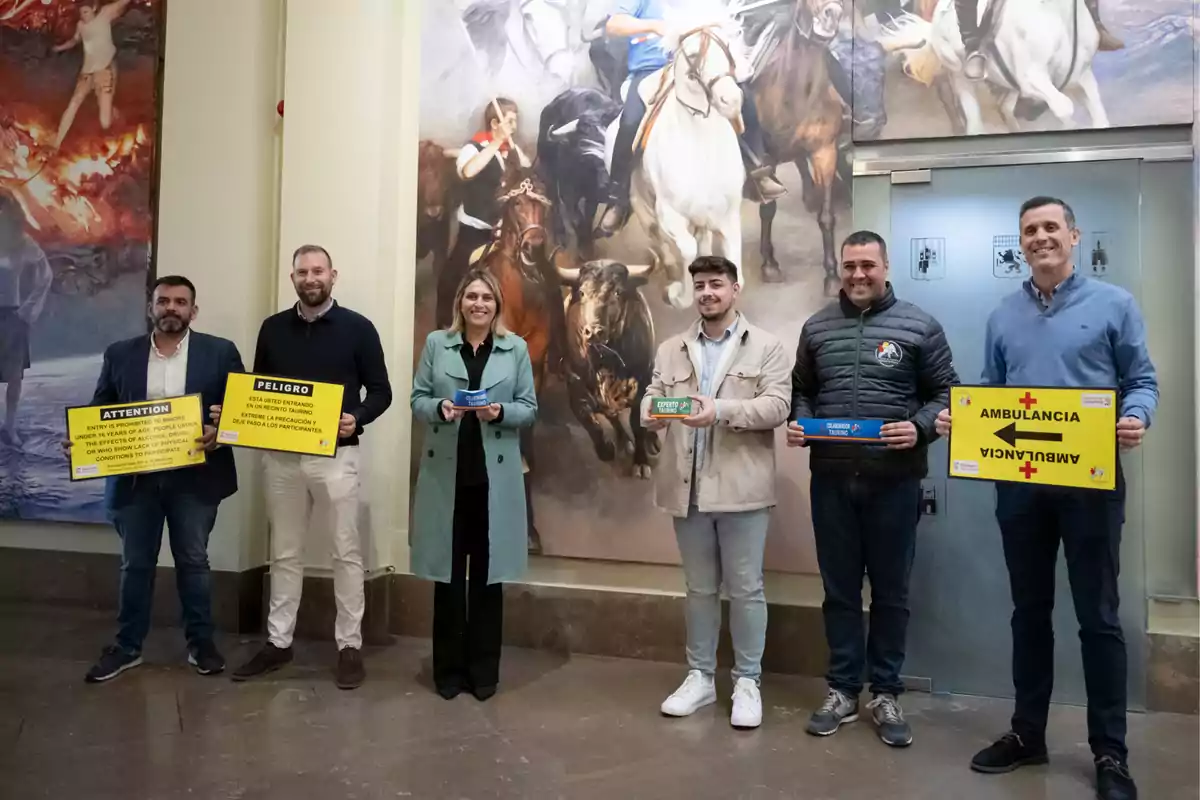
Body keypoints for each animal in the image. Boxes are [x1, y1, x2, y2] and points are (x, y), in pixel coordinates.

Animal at [540, 86, 624, 256]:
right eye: (583, 146)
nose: (612, 190)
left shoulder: (593, 197)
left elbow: (589, 216)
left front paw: (586, 245)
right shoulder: (567, 190)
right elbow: (577, 218)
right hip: (547, 164)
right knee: (552, 196)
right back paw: (560, 233)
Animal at [556, 260, 662, 479]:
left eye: (618, 292)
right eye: (582, 292)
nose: (594, 331)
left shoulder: (642, 385)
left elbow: (637, 424)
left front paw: (641, 461)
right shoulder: (576, 390)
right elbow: (592, 424)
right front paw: (606, 449)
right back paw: (623, 441)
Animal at [600, 19, 748, 309]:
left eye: (726, 46)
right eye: (693, 55)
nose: (732, 100)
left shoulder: (727, 215)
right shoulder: (669, 215)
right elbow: (686, 249)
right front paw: (678, 294)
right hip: (641, 204)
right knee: (659, 239)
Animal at [878, 0, 1108, 136]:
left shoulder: (1082, 76)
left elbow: (1099, 118)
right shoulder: (1032, 79)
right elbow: (1064, 107)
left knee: (1004, 107)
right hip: (960, 77)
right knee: (973, 122)